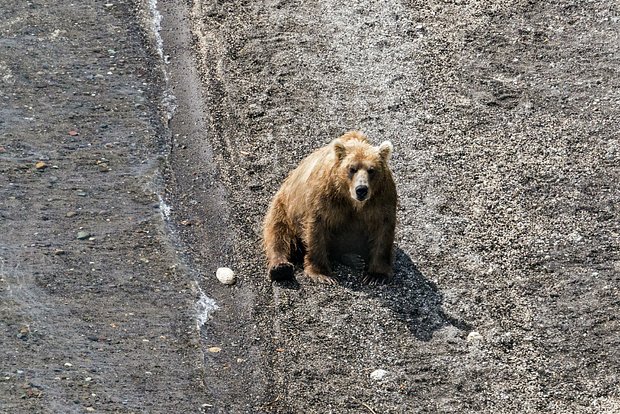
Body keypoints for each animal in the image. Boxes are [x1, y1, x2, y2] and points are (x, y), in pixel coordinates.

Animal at [262, 130, 398, 284]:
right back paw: (280, 268)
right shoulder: (325, 197)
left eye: (371, 170)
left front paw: (376, 275)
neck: (351, 200)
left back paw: (354, 258)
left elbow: (383, 229)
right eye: (352, 168)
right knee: (278, 231)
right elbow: (317, 227)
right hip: (284, 206)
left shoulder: (381, 199)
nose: (361, 189)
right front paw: (322, 274)